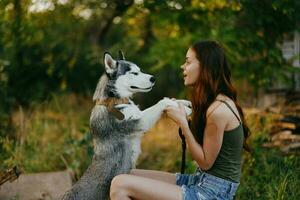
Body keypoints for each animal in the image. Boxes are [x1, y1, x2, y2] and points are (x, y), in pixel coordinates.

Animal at [61, 51, 191, 200]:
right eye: (134, 73)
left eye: (140, 70)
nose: (153, 78)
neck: (114, 100)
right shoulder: (139, 123)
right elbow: (160, 103)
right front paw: (178, 106)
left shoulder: (139, 116)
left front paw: (183, 103)